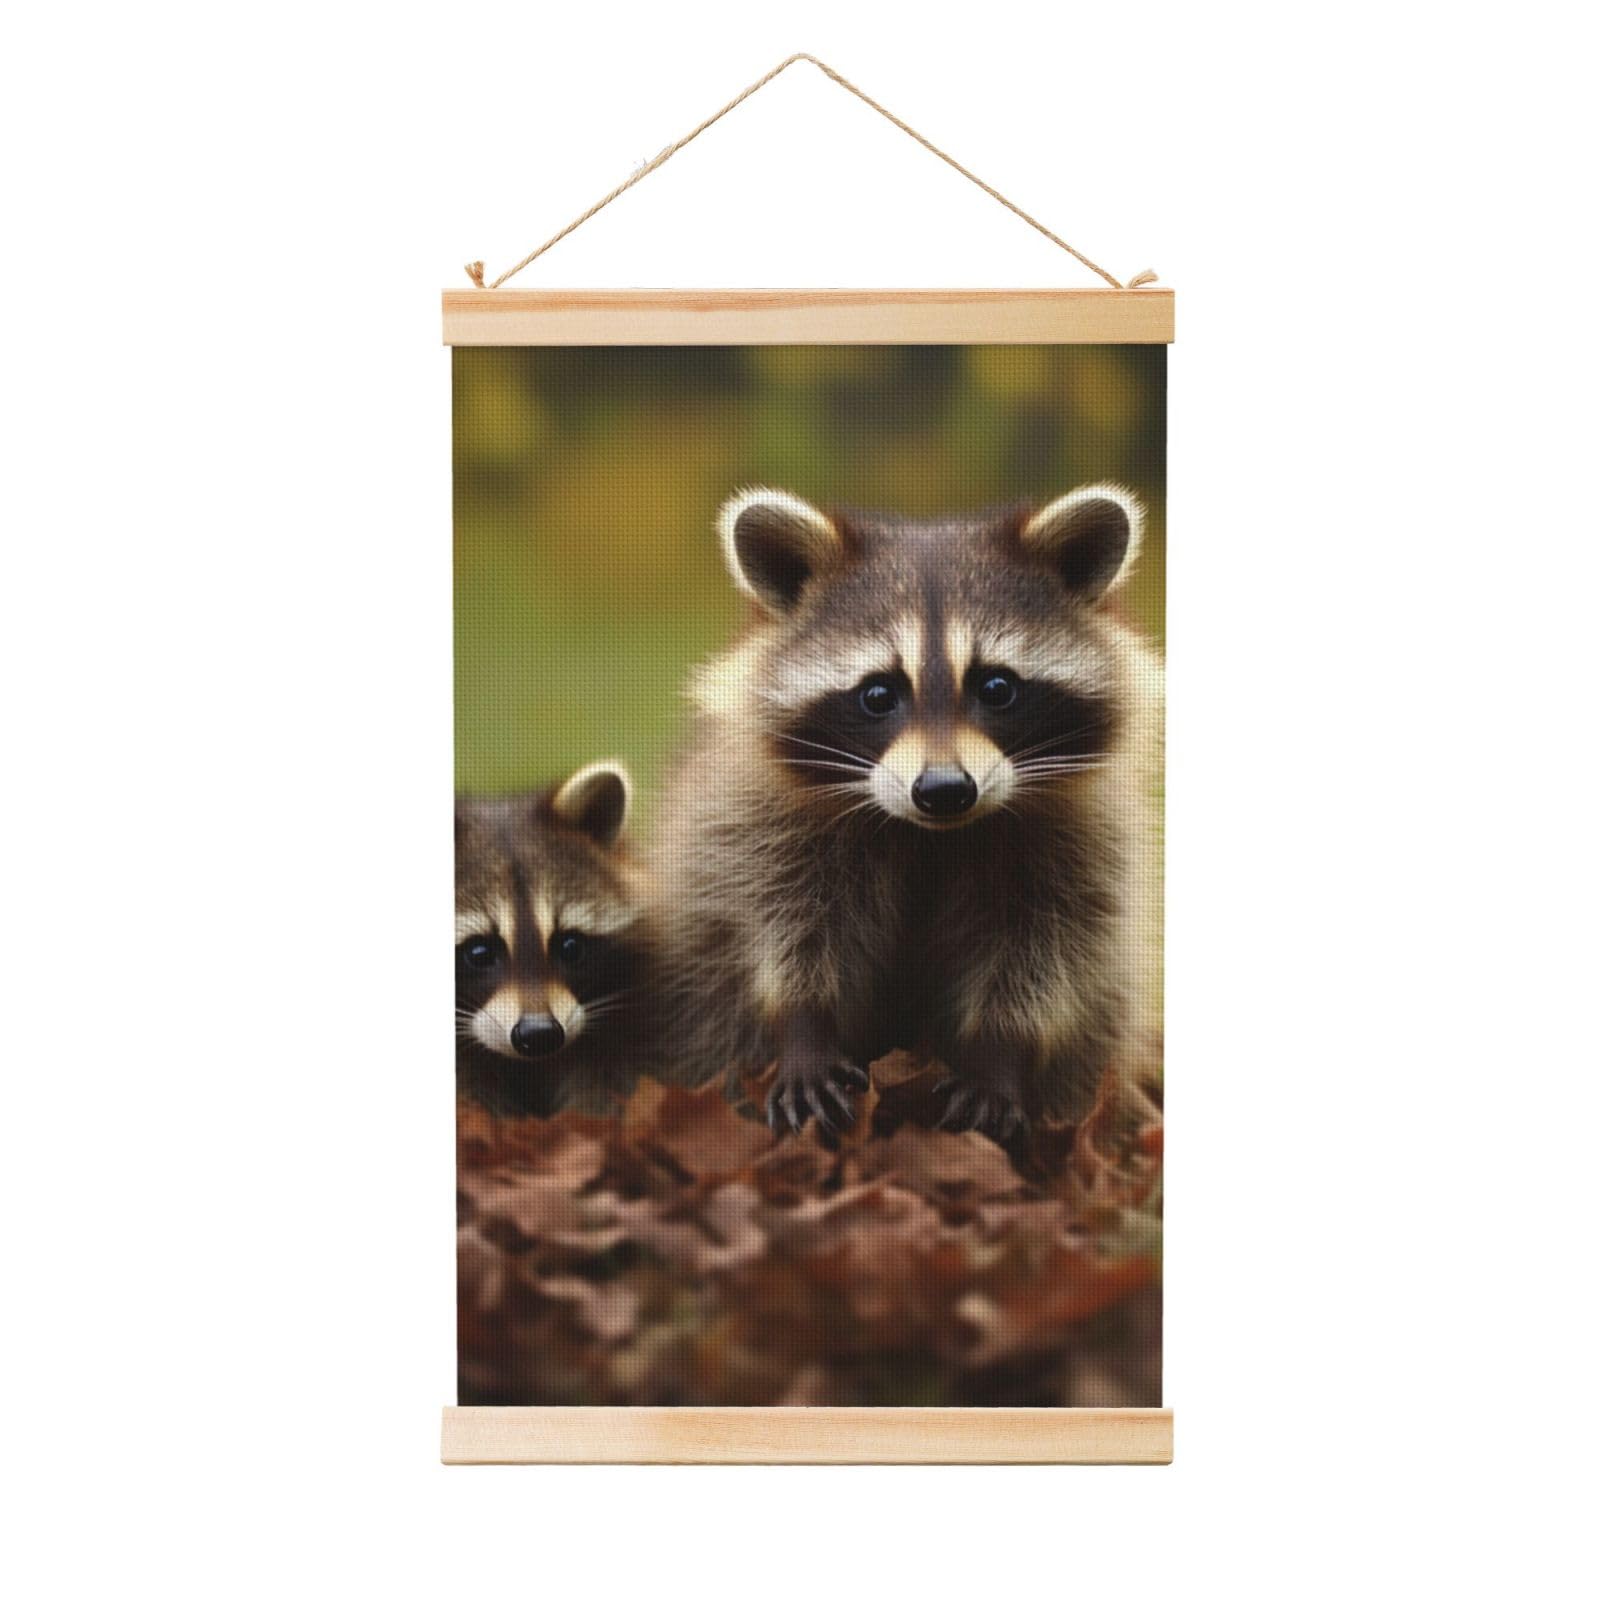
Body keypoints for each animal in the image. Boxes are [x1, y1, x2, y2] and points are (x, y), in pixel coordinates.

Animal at [650, 486, 1162, 1140]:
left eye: (997, 688)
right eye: (877, 694)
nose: (944, 790)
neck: (931, 835)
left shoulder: (1079, 837)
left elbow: (1046, 949)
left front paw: (999, 1054)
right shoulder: (758, 822)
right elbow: (785, 926)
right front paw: (804, 1029)